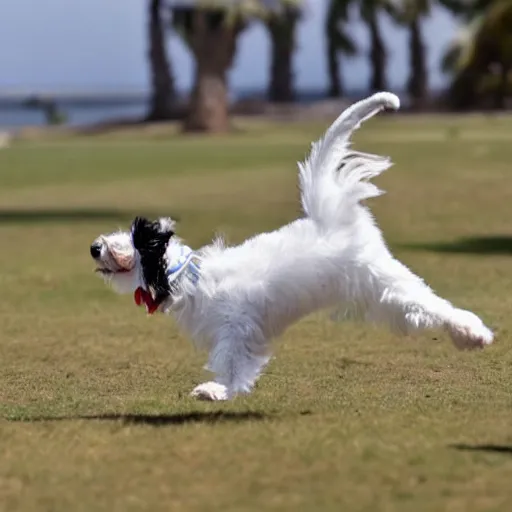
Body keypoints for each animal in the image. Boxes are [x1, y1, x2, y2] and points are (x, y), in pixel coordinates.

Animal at [90, 94, 494, 402]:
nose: (94, 247)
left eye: (132, 240)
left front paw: (218, 391)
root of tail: (332, 216)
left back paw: (473, 332)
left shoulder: (238, 327)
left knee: (432, 305)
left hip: (382, 283)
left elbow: (234, 364)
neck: (187, 276)